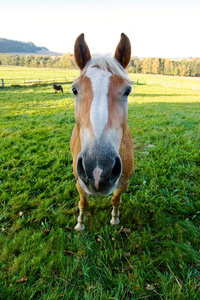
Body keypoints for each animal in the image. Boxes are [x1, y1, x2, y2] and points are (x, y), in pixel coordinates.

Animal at [69, 32, 134, 231]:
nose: (98, 170)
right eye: (74, 90)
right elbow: (83, 203)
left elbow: (116, 200)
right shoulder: (79, 182)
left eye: (127, 91)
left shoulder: (124, 183)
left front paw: (114, 219)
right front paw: (80, 224)